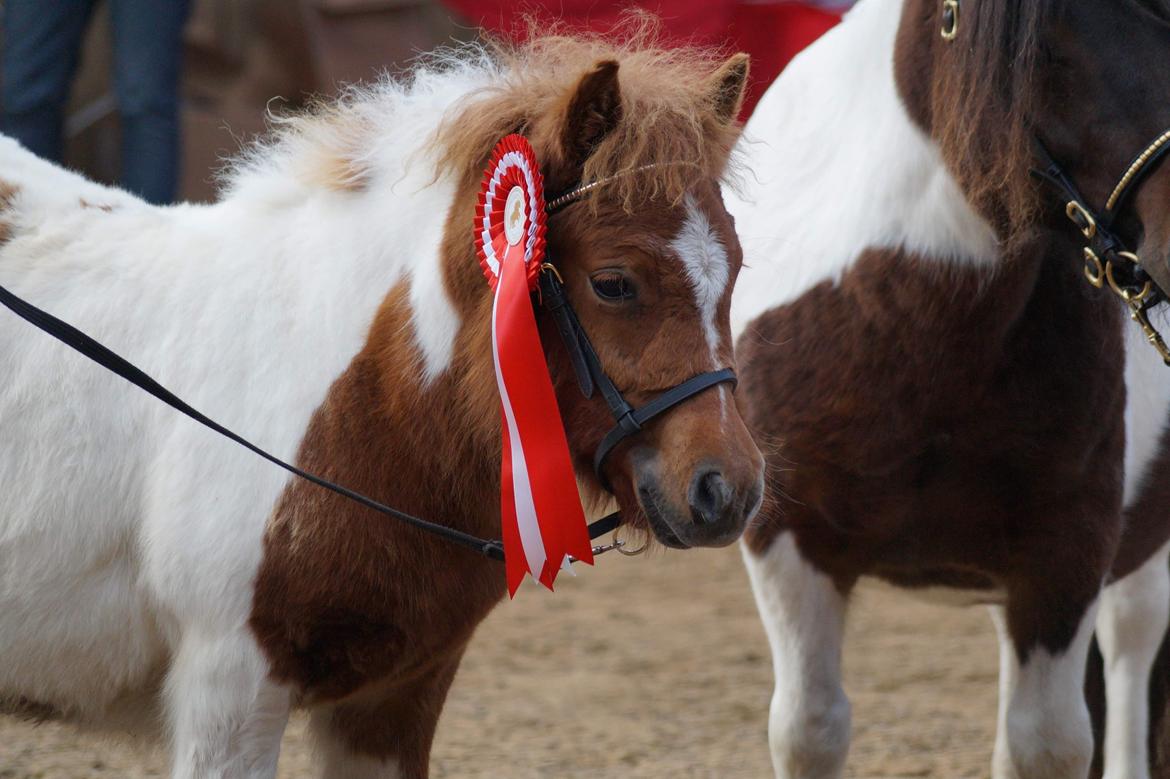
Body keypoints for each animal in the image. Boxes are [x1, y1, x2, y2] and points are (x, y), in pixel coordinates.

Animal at [734, 1, 1170, 776]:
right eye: (1054, 34)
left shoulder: (1067, 555)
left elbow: (1049, 740)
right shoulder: (784, 539)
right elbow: (809, 728)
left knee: (1130, 644)